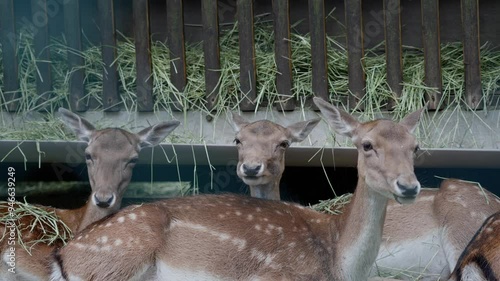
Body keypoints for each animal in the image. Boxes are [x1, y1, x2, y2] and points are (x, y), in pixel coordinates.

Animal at [49, 97, 426, 280]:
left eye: (416, 147)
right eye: (367, 145)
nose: (409, 186)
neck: (339, 264)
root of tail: (63, 256)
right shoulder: (274, 276)